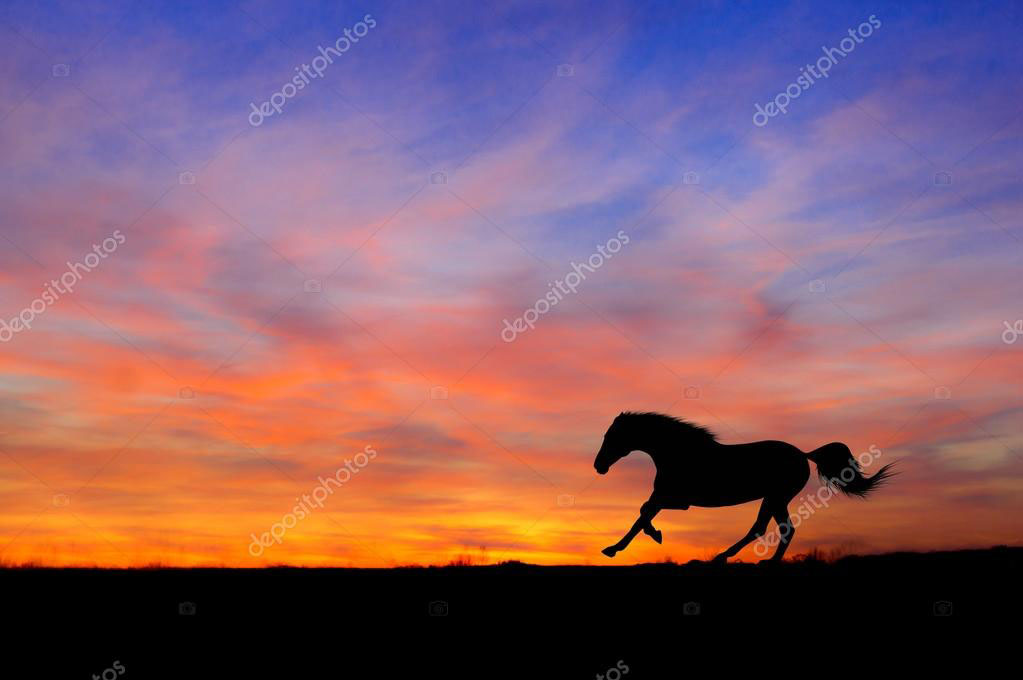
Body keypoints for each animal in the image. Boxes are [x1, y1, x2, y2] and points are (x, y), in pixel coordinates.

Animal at [593, 412, 894, 562]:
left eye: (612, 436)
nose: (599, 466)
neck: (678, 453)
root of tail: (803, 454)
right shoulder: (666, 497)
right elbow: (642, 514)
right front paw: (619, 547)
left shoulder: (677, 499)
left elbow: (642, 514)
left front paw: (642, 540)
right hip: (775, 498)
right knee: (770, 528)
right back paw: (742, 558)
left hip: (777, 496)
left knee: (773, 529)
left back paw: (738, 559)